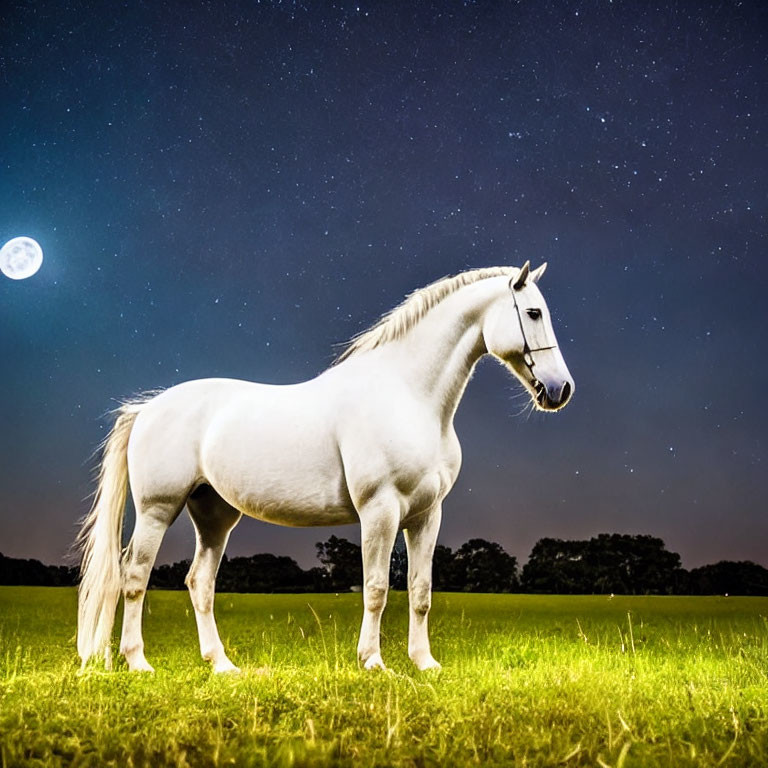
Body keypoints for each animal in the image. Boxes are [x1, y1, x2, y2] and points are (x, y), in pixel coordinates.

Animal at [76, 262, 568, 672]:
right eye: (533, 312)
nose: (560, 389)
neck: (408, 395)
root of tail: (146, 409)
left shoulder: (427, 515)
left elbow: (421, 591)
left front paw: (424, 663)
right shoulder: (380, 511)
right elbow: (376, 589)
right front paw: (373, 662)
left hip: (215, 515)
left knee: (199, 583)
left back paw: (222, 665)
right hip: (158, 510)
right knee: (134, 577)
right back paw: (137, 662)